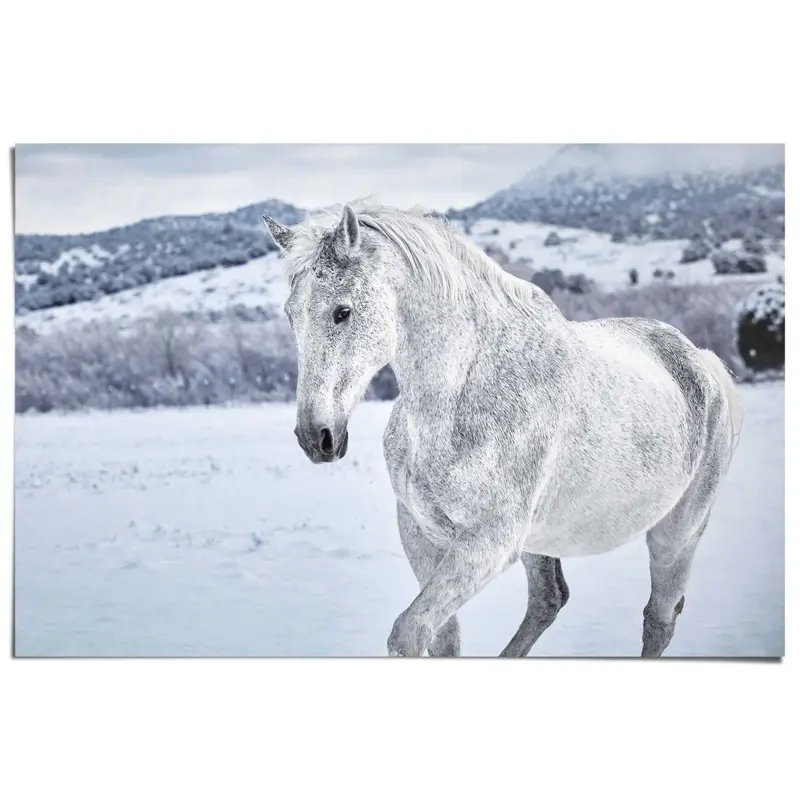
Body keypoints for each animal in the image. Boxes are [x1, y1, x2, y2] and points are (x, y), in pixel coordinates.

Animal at [264, 202, 742, 657]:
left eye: (342, 312)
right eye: (290, 315)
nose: (316, 437)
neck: (461, 394)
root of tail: (702, 360)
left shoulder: (487, 544)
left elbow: (408, 633)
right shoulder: (422, 533)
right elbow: (442, 639)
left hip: (676, 535)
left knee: (659, 618)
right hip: (540, 540)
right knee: (549, 600)